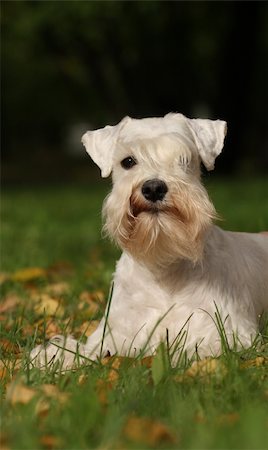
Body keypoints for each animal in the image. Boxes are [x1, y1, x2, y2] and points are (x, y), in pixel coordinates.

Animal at [29, 112, 268, 370]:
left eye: (185, 160)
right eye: (128, 161)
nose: (153, 188)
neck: (162, 267)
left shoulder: (224, 332)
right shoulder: (114, 333)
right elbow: (87, 351)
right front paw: (52, 356)